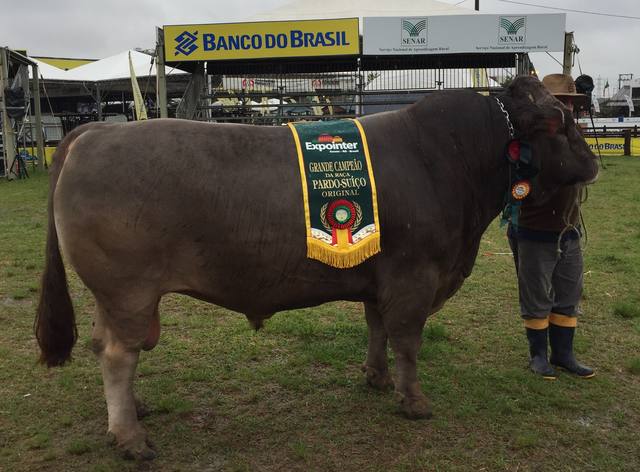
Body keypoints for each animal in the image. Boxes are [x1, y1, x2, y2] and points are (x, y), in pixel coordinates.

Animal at [35, 75, 596, 460]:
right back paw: (132, 438)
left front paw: (376, 377)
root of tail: (92, 134)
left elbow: (377, 329)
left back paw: (135, 412)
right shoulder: (414, 277)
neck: (447, 158)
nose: (593, 163)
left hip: (114, 296)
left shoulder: (380, 277)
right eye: (561, 122)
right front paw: (413, 401)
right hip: (128, 289)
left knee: (107, 346)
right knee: (118, 354)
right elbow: (407, 342)